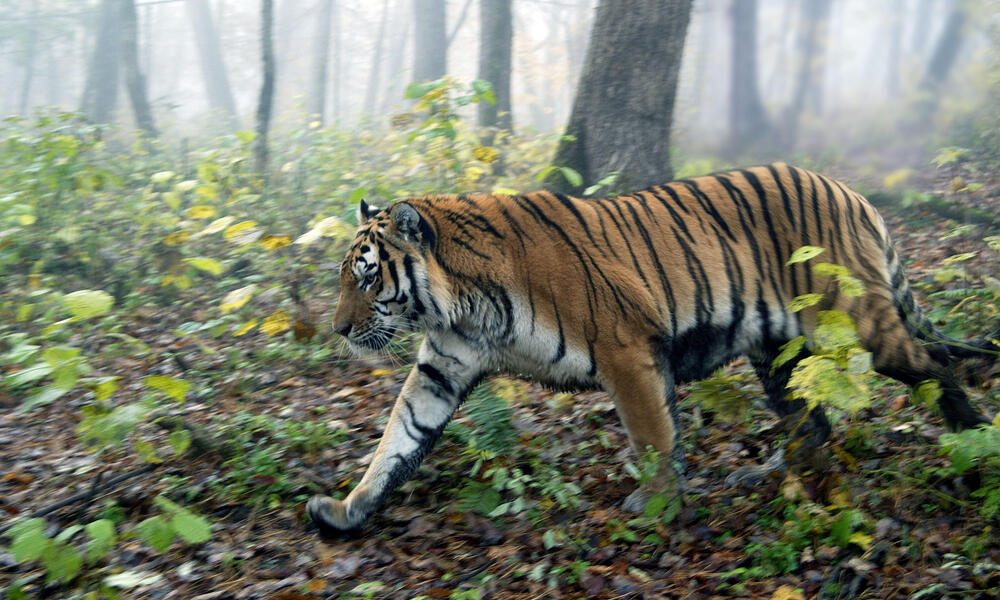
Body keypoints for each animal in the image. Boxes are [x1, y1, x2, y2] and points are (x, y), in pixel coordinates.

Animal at [308, 161, 996, 536]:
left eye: (366, 277)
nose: (338, 330)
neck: (461, 303)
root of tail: (852, 193)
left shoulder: (626, 350)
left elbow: (651, 434)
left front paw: (657, 504)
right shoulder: (441, 368)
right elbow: (397, 441)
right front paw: (347, 510)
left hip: (854, 321)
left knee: (933, 364)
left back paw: (973, 445)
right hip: (777, 352)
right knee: (811, 416)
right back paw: (771, 473)